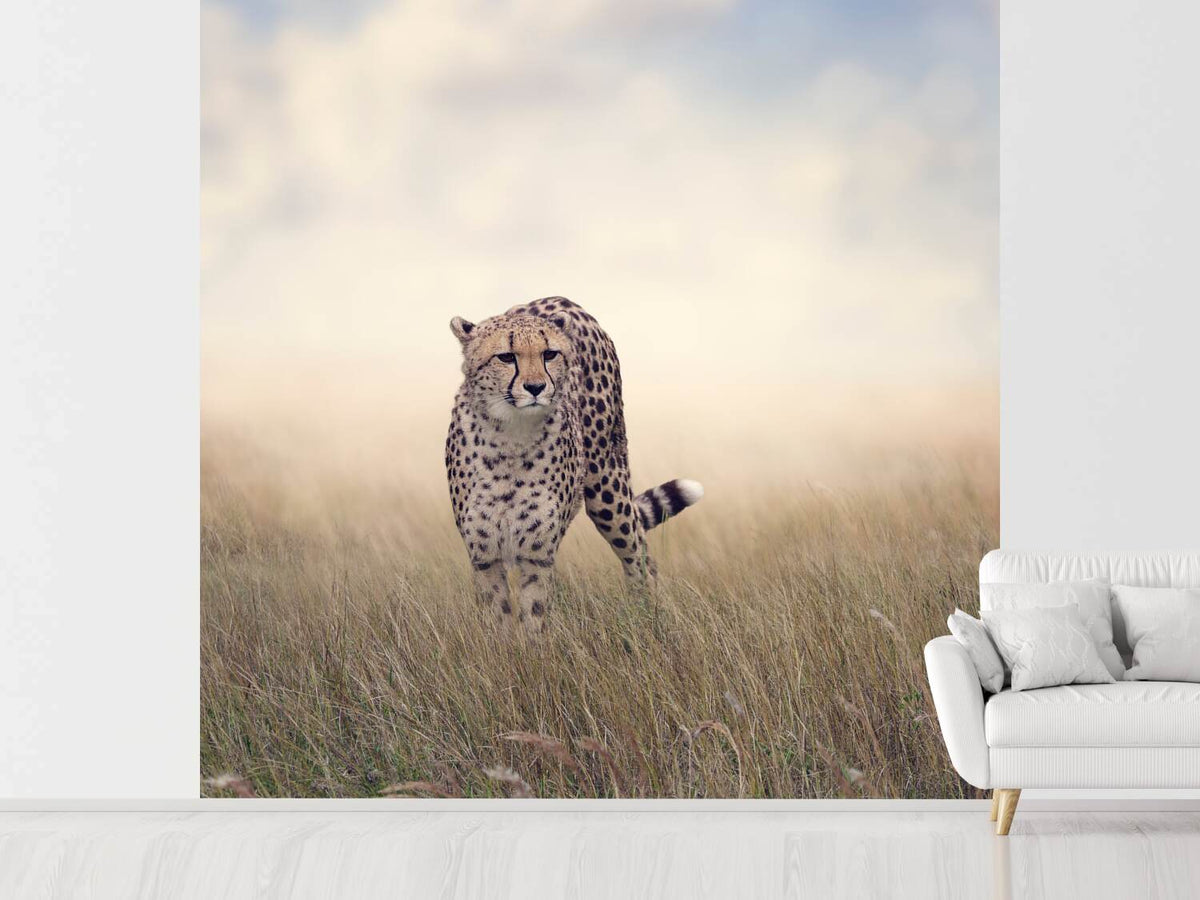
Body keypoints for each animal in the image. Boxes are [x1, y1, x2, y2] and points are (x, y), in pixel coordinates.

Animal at [445, 296, 703, 634]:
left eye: (549, 354)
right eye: (506, 357)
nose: (536, 387)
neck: (511, 437)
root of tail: (562, 300)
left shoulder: (537, 557)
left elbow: (533, 621)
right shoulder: (485, 558)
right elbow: (498, 623)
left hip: (608, 493)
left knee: (639, 554)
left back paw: (646, 618)